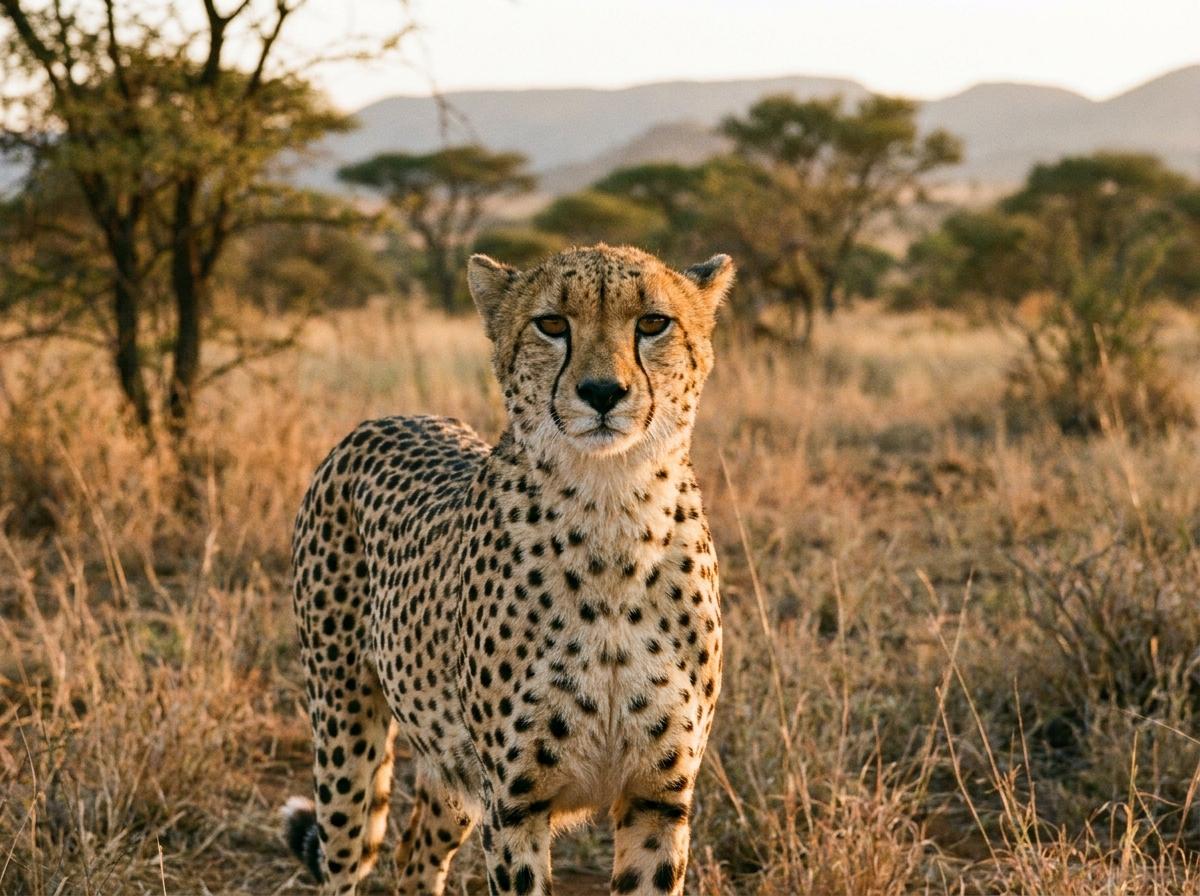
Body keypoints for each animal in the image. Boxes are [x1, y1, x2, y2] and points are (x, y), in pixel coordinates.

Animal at [282, 244, 735, 896]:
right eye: (551, 324)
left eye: (653, 323)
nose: (603, 391)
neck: (613, 510)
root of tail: (387, 418)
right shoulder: (516, 804)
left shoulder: (658, 798)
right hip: (345, 724)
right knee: (344, 855)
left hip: (449, 760)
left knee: (416, 857)